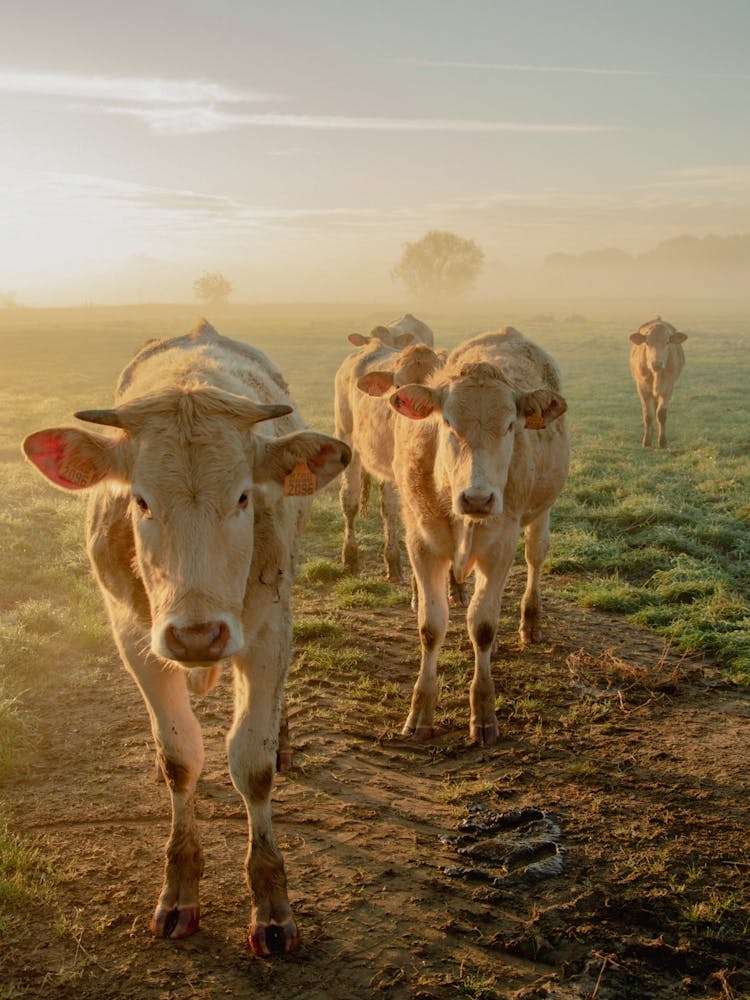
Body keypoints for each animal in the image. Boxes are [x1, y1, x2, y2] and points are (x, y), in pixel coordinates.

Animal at [22, 321, 350, 956]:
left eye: (244, 496)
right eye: (140, 499)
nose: (198, 635)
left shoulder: (267, 633)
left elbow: (252, 763)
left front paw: (271, 905)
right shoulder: (137, 639)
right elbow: (182, 759)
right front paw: (179, 889)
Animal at [335, 336, 443, 583]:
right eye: (398, 387)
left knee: (388, 510)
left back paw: (393, 565)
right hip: (347, 438)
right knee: (350, 501)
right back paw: (351, 559)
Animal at [388, 327, 569, 745]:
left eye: (510, 425)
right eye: (447, 422)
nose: (478, 497)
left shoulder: (500, 547)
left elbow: (483, 625)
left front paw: (484, 713)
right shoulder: (422, 545)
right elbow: (431, 626)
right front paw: (420, 712)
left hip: (539, 516)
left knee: (535, 558)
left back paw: (529, 622)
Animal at [629, 316, 687, 448]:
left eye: (667, 342)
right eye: (647, 342)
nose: (657, 363)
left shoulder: (668, 388)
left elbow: (661, 414)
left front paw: (662, 442)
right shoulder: (642, 388)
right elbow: (648, 415)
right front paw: (646, 441)